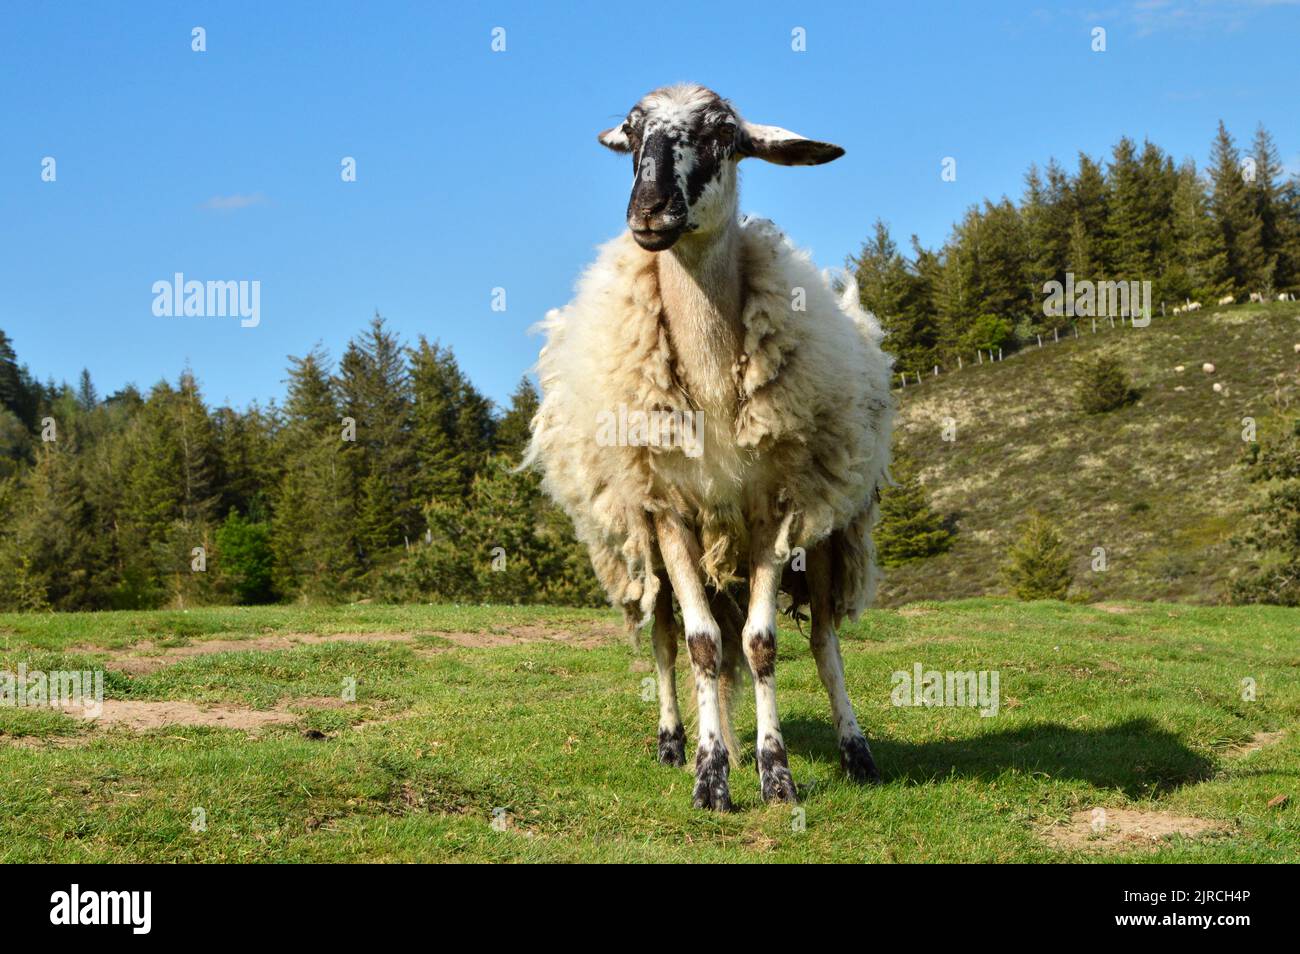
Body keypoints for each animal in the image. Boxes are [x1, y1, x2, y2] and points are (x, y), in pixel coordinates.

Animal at [526, 84, 893, 810]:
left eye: (724, 134)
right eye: (633, 134)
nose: (647, 213)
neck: (713, 380)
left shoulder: (776, 508)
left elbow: (761, 643)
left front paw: (774, 774)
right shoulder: (667, 509)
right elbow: (700, 646)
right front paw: (710, 776)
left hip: (826, 533)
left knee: (821, 641)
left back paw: (853, 750)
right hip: (651, 544)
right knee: (672, 642)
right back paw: (678, 741)